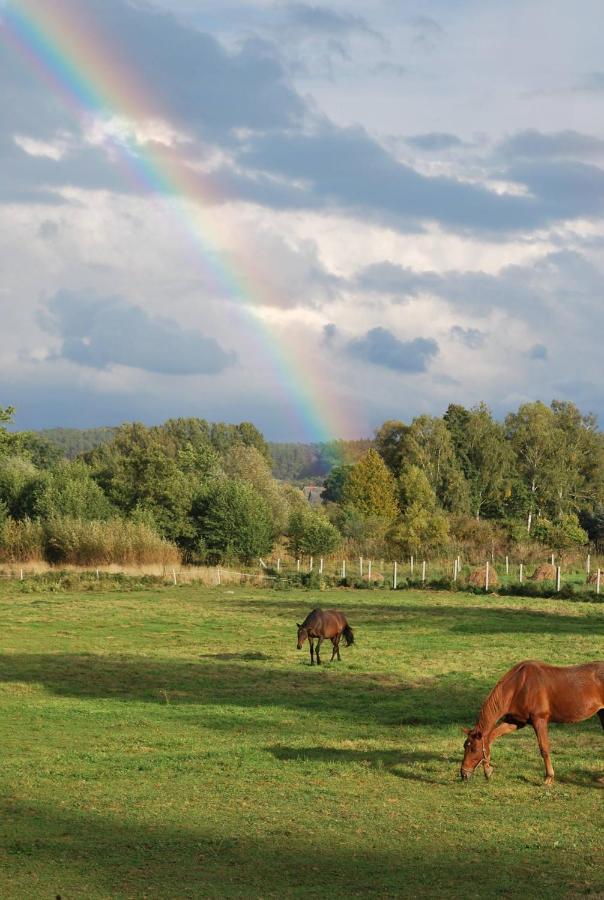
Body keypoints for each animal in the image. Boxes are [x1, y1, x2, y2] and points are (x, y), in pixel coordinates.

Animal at [460, 656, 600, 784]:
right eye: (464, 746)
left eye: (473, 749)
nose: (463, 774)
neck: (519, 685)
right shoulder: (516, 722)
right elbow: (491, 738)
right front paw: (487, 770)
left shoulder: (539, 720)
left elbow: (544, 749)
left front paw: (549, 777)